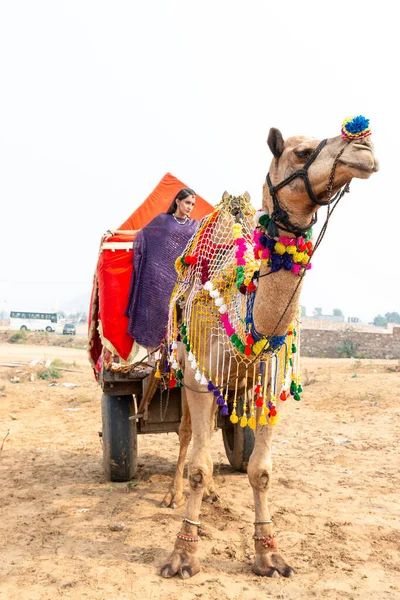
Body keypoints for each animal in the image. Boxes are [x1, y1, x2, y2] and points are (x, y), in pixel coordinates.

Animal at [156, 115, 378, 580]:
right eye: (301, 151)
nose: (363, 145)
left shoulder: (267, 384)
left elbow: (260, 471)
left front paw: (269, 555)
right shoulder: (199, 378)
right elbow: (198, 465)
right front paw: (183, 554)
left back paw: (215, 494)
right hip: (183, 367)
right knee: (187, 436)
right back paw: (172, 495)